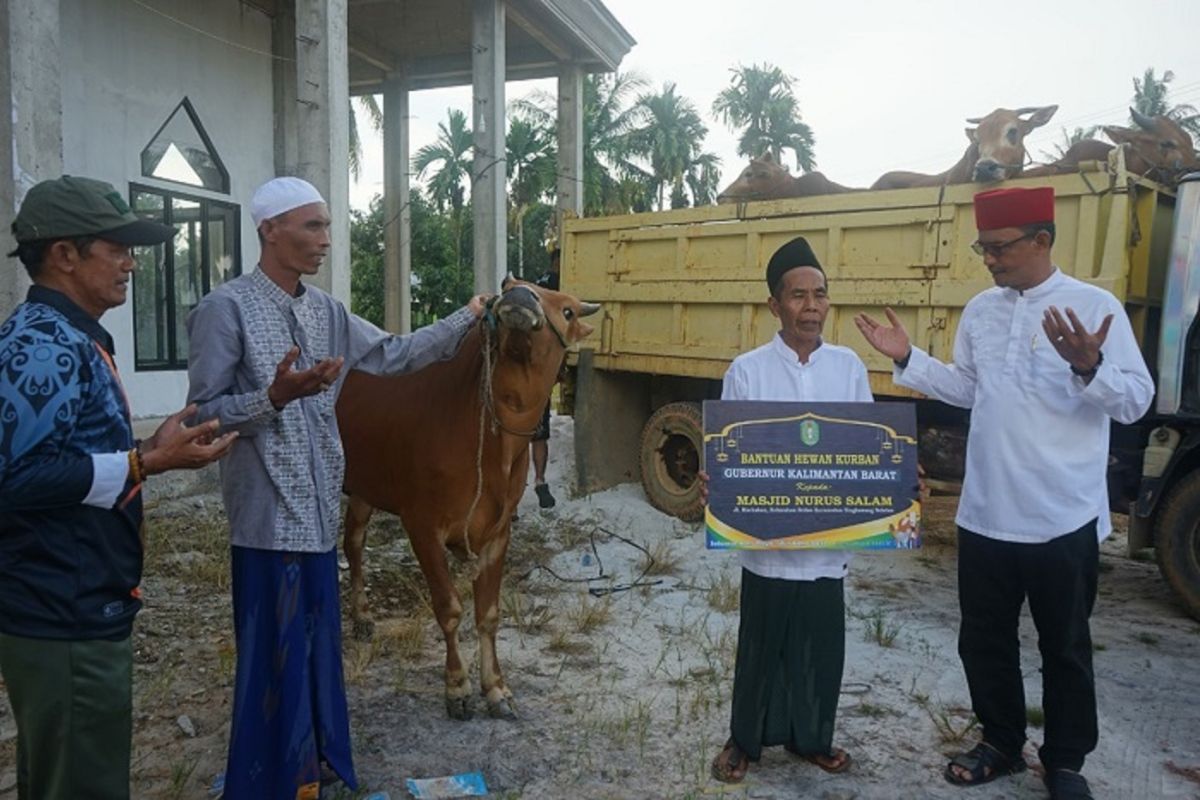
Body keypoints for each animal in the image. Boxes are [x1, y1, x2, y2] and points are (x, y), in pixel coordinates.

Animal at [338, 281, 600, 719]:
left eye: (566, 310)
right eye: (507, 287)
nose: (521, 294)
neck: (497, 443)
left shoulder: (498, 532)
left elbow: (488, 614)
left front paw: (495, 688)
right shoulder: (421, 525)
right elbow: (449, 608)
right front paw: (457, 687)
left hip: (363, 485)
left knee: (354, 540)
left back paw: (362, 616)